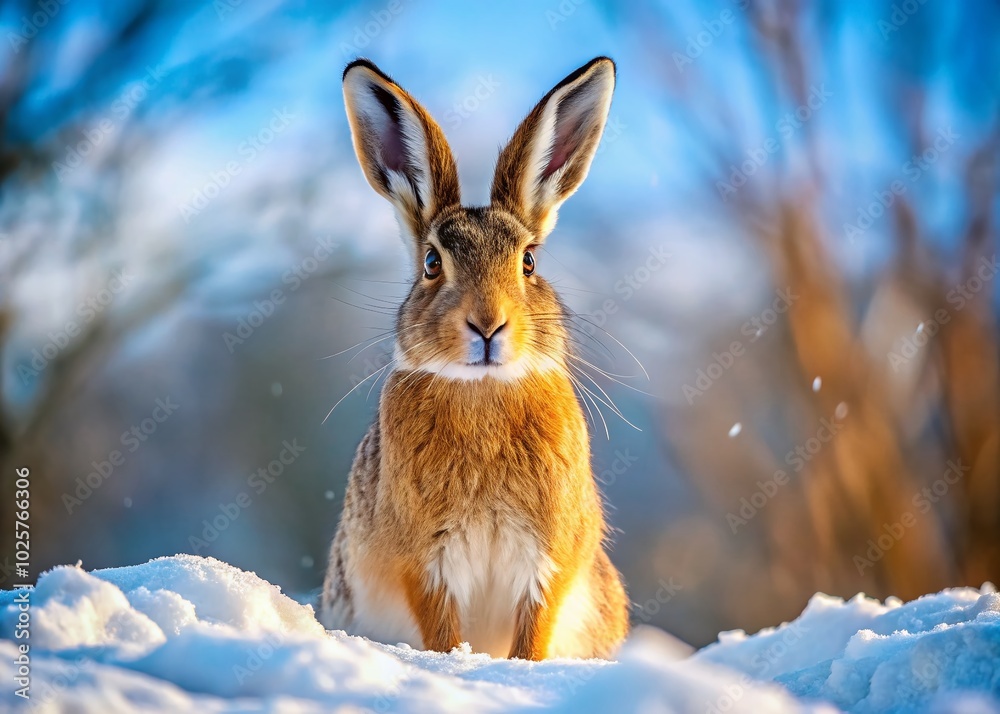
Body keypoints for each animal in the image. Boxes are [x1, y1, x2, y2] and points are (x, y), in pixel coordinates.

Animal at [319, 56, 628, 660]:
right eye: (432, 263)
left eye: (529, 262)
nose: (488, 325)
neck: (483, 390)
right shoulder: (424, 560)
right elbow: (440, 625)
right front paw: (452, 663)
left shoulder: (547, 556)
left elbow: (536, 625)